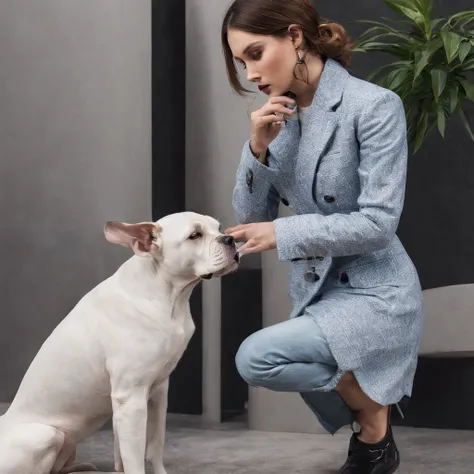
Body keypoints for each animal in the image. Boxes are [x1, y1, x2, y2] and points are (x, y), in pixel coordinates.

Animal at [0, 212, 239, 474]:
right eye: (195, 235)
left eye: (219, 228)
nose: (230, 239)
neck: (169, 297)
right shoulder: (131, 399)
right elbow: (134, 457)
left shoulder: (158, 393)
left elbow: (154, 445)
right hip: (45, 435)